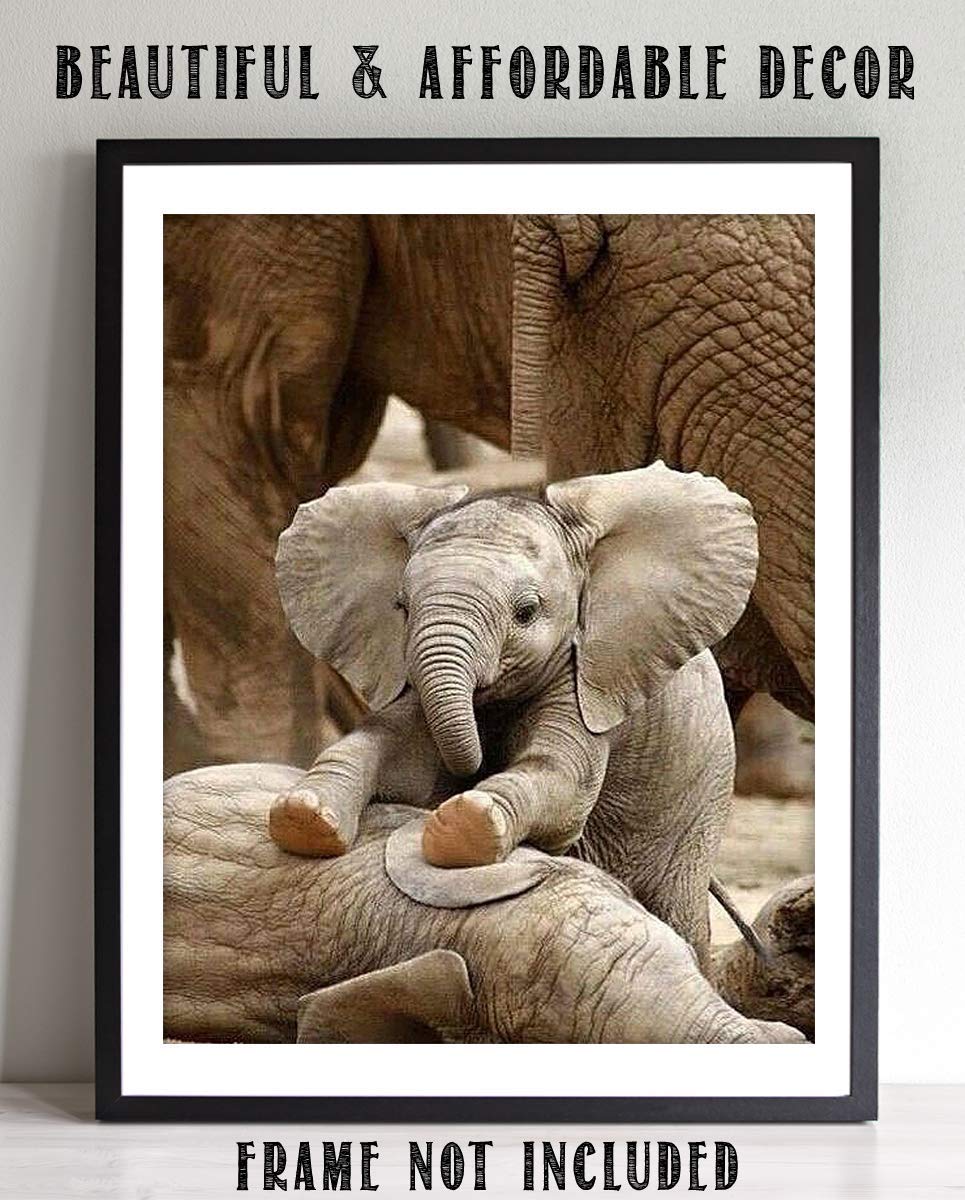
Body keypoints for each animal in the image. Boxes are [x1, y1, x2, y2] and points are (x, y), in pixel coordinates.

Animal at [267, 463, 757, 966]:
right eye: (401, 608)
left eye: (527, 612)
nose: (474, 769)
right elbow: (393, 751)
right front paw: (303, 816)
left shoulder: (584, 676)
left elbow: (561, 780)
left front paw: (462, 824)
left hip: (701, 798)